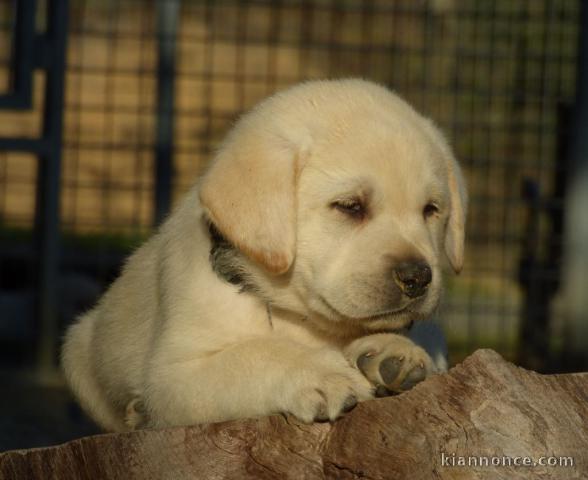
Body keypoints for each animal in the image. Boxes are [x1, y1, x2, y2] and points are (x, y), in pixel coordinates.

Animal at [60, 79, 464, 432]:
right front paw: (321, 372)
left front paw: (390, 352)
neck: (301, 318)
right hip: (77, 350)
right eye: (351, 206)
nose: (417, 277)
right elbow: (253, 356)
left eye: (431, 210)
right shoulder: (174, 375)